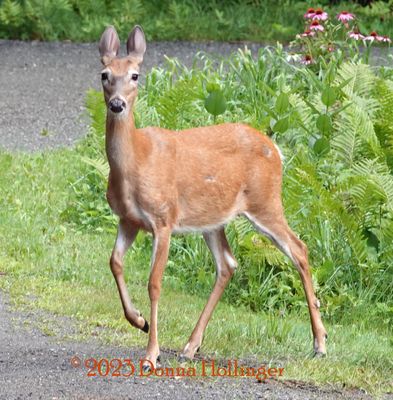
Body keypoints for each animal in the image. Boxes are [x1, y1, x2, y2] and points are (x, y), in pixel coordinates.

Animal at [99, 25, 328, 372]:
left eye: (136, 75)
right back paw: (190, 346)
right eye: (105, 75)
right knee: (227, 264)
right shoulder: (128, 219)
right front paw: (138, 320)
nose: (116, 104)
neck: (137, 161)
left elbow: (154, 282)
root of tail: (276, 149)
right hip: (213, 219)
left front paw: (151, 354)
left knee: (299, 249)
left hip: (265, 201)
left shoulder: (163, 218)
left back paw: (320, 343)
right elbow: (115, 263)